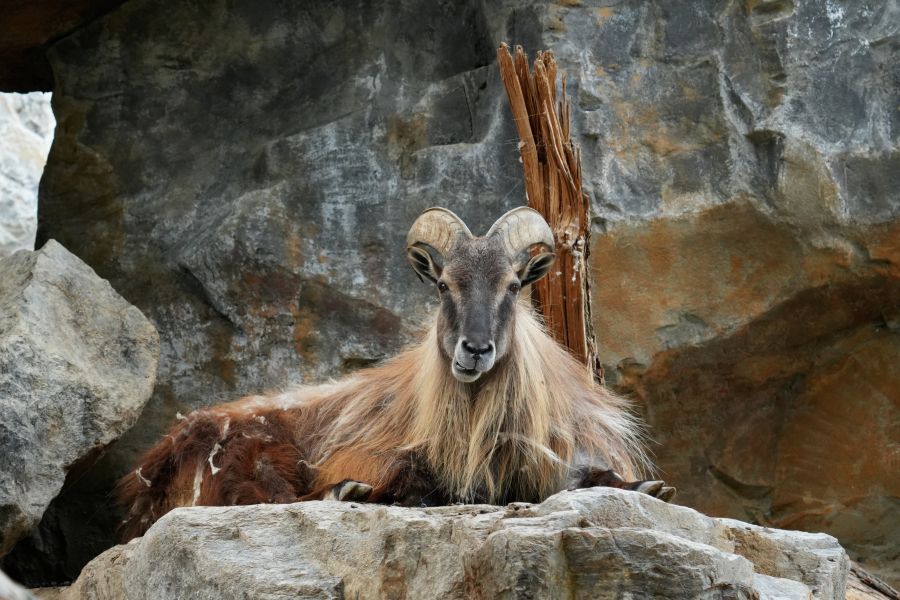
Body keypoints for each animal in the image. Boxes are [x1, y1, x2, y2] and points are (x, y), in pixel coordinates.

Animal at [118, 206, 673, 540]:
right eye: (445, 285)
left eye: (514, 285)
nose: (475, 350)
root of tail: (151, 471)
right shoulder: (386, 455)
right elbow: (417, 484)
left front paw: (649, 488)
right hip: (250, 452)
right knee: (261, 499)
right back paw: (345, 492)